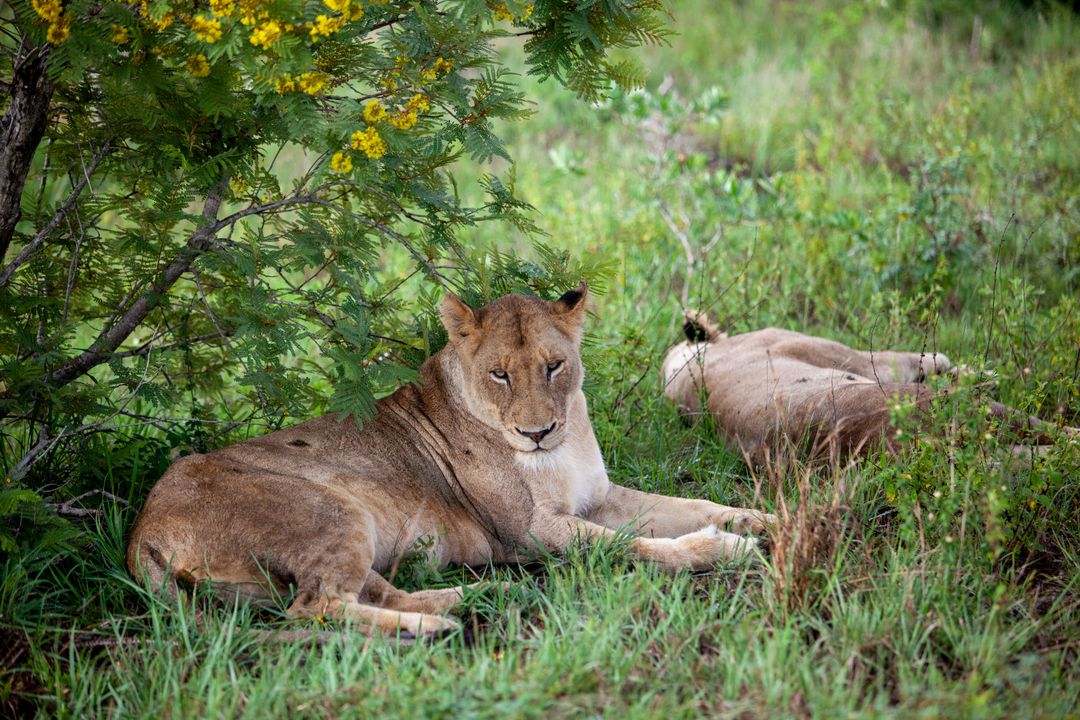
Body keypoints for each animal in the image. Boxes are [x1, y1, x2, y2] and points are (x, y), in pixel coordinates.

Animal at [128, 286, 775, 639]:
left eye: (554, 366)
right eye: (499, 374)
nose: (537, 432)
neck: (561, 447)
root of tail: (142, 530)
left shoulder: (599, 497)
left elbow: (686, 504)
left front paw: (759, 520)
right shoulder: (527, 531)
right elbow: (632, 546)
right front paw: (725, 548)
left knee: (355, 594)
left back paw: (470, 598)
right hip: (328, 510)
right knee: (315, 609)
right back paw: (436, 628)